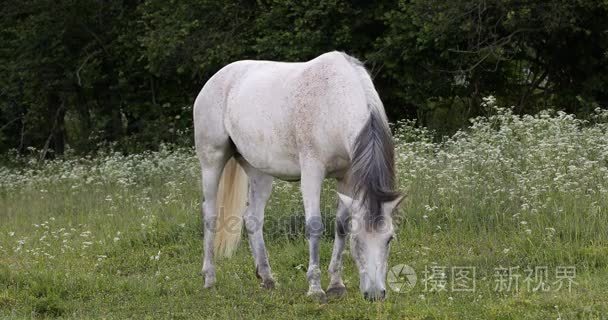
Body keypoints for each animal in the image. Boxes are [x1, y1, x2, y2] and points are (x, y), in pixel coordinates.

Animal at [195, 51, 404, 302]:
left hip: (259, 172)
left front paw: (336, 284)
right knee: (210, 215)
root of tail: (216, 78)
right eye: (357, 241)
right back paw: (209, 278)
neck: (335, 101)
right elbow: (314, 225)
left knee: (253, 218)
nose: (375, 294)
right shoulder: (312, 171)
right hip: (211, 161)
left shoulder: (347, 177)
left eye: (389, 239)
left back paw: (267, 279)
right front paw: (315, 288)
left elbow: (341, 225)